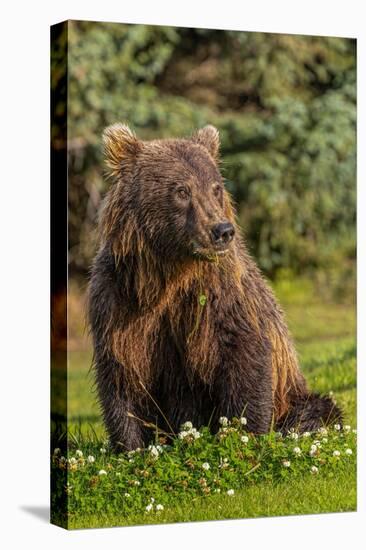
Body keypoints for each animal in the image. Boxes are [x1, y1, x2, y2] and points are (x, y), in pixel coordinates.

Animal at [87, 125, 342, 452]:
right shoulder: (119, 301)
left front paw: (243, 433)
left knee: (317, 412)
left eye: (215, 188)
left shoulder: (221, 294)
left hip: (294, 394)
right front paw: (132, 446)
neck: (169, 273)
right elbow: (123, 373)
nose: (222, 231)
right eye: (182, 191)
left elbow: (244, 352)